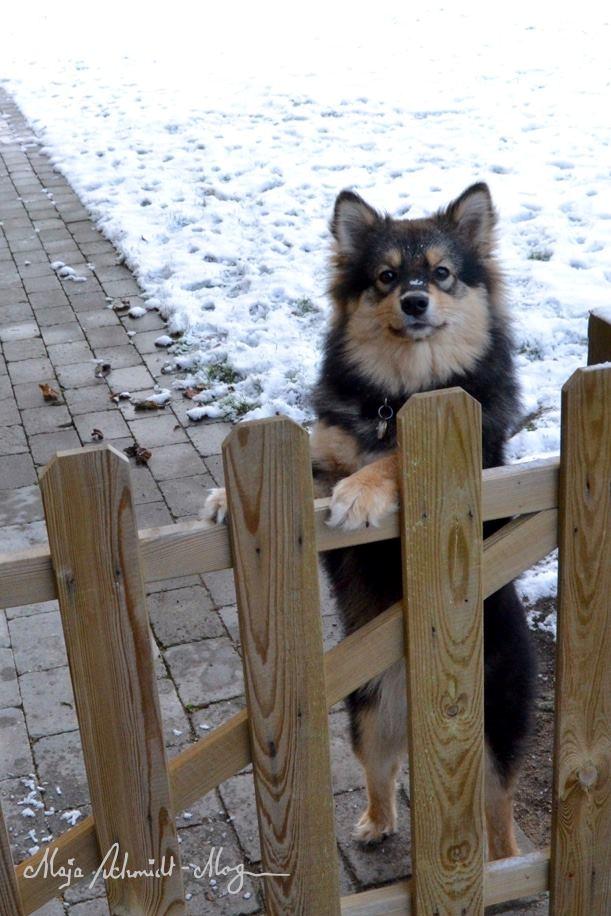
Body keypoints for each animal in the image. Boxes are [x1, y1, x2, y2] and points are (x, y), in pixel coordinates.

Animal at [206, 184, 536, 860]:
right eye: (386, 277)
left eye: (441, 273)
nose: (414, 300)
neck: (402, 394)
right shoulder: (324, 459)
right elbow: (313, 468)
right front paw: (230, 495)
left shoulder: (476, 474)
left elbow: (394, 463)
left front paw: (360, 495)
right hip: (365, 714)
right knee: (381, 772)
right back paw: (374, 823)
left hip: (495, 729)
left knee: (497, 810)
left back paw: (505, 860)